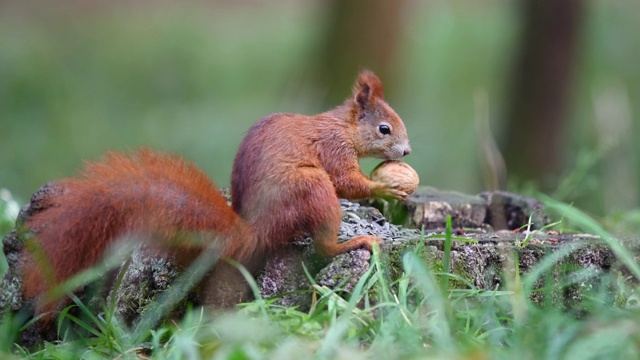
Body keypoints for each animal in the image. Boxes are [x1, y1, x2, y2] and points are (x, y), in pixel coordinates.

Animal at [20, 70, 412, 318]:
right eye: (384, 129)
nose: (407, 152)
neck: (342, 126)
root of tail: (255, 230)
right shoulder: (333, 149)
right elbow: (346, 181)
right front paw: (386, 187)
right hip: (311, 187)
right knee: (324, 244)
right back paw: (355, 241)